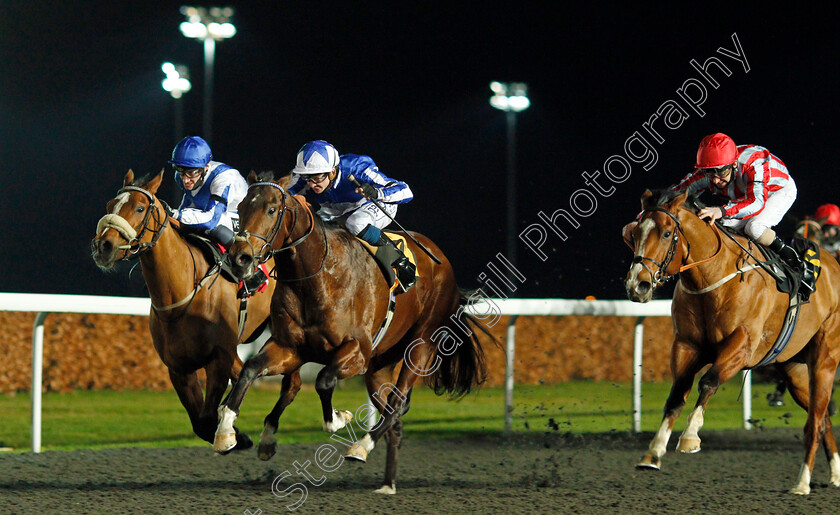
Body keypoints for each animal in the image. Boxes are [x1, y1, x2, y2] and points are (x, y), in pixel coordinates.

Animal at [90, 170, 278, 452]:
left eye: (139, 208)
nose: (104, 246)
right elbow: (201, 423)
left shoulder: (218, 358)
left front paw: (232, 434)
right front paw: (237, 435)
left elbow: (209, 415)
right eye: (109, 205)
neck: (181, 296)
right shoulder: (179, 368)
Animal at [213, 174, 496, 496]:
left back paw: (361, 447)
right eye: (240, 207)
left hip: (421, 344)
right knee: (393, 412)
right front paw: (228, 434)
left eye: (272, 209)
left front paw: (338, 419)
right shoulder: (290, 348)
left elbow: (323, 381)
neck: (319, 276)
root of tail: (443, 263)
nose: (240, 259)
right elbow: (250, 370)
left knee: (398, 402)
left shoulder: (356, 352)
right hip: (379, 365)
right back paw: (387, 483)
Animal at [624, 190, 840, 496]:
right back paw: (834, 473)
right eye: (634, 233)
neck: (712, 277)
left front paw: (690, 437)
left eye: (667, 233)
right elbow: (676, 395)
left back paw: (802, 482)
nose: (637, 285)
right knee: (821, 417)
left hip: (825, 358)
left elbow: (708, 382)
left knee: (815, 421)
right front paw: (652, 452)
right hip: (794, 369)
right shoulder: (687, 346)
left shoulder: (741, 346)